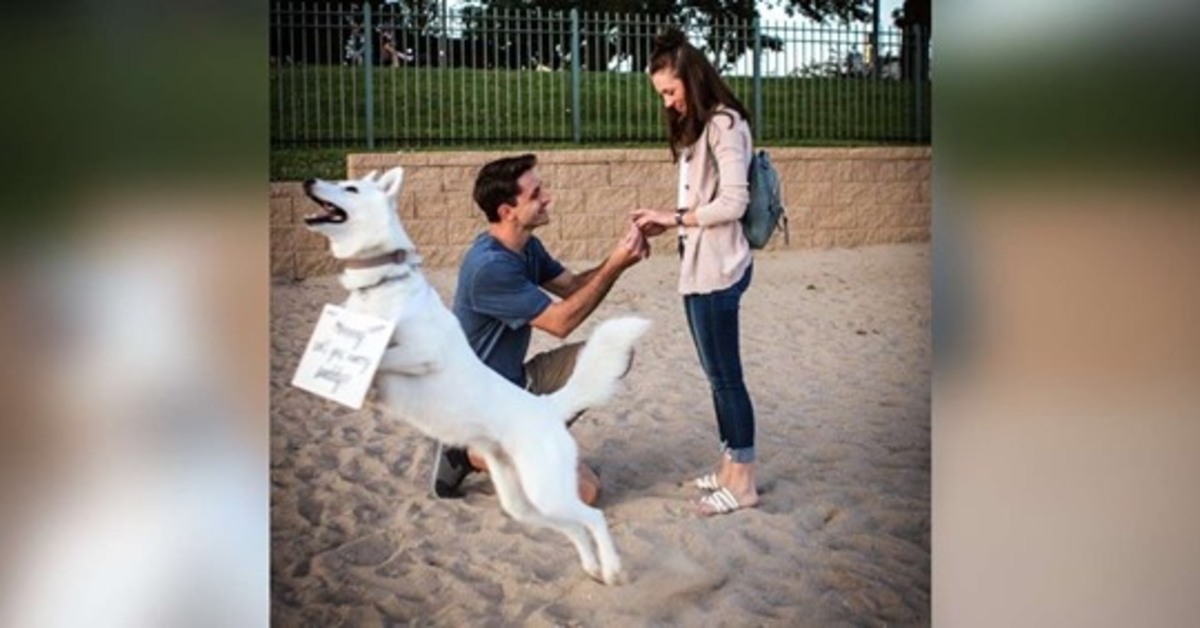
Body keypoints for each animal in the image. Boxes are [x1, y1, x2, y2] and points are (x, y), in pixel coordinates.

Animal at [304, 165, 652, 585]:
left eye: (350, 188)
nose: (307, 182)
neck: (381, 286)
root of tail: (547, 408)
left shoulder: (424, 352)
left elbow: (384, 357)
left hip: (547, 491)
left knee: (594, 518)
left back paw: (612, 569)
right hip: (526, 504)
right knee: (574, 529)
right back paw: (592, 567)